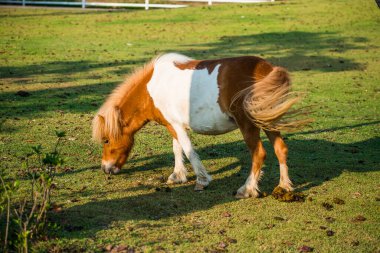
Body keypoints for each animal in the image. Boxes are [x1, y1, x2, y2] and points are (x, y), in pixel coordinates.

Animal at [93, 52, 310, 198]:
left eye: (106, 140)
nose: (105, 169)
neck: (153, 87)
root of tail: (265, 68)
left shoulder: (175, 125)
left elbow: (188, 150)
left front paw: (202, 181)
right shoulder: (174, 125)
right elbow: (177, 149)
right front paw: (178, 175)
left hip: (248, 125)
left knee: (259, 154)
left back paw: (247, 189)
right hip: (268, 122)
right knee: (281, 149)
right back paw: (284, 186)